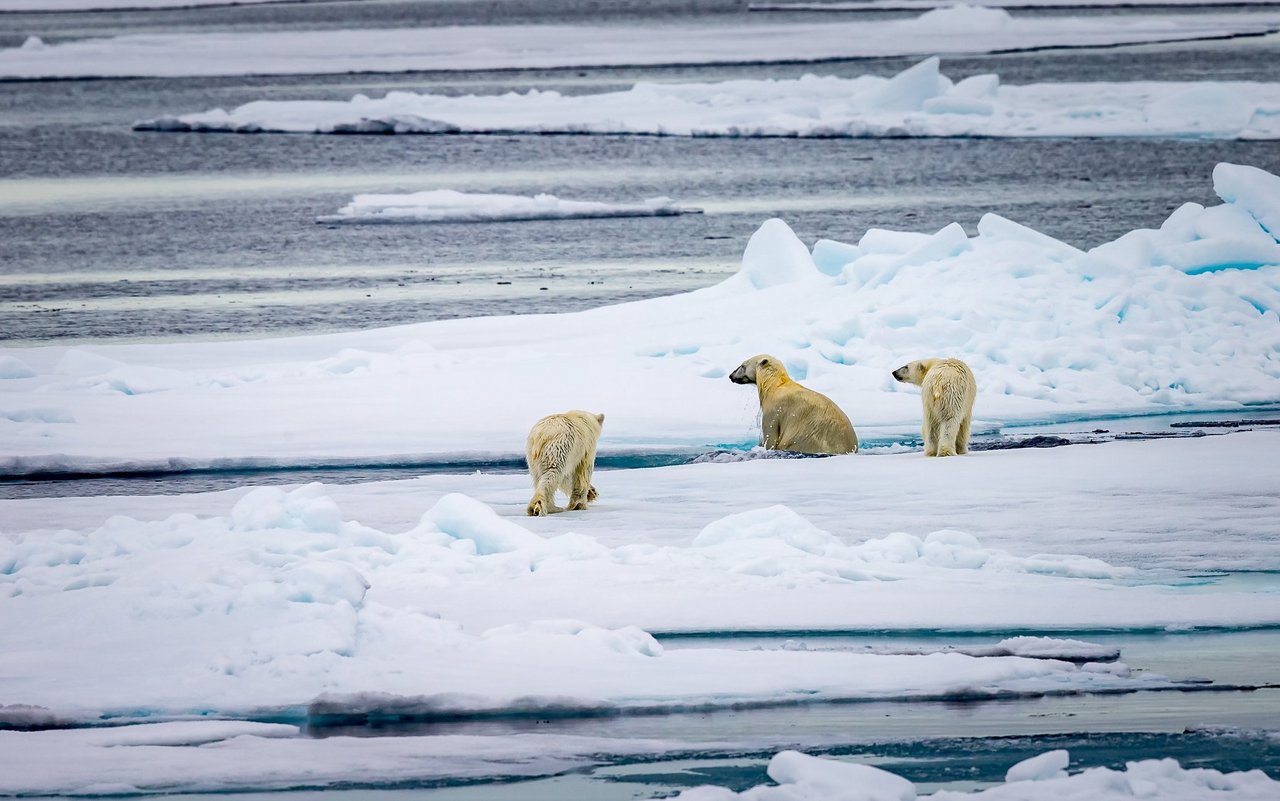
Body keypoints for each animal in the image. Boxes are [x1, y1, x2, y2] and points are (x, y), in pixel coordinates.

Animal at [732, 353, 860, 452]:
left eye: (742, 365)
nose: (731, 375)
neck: (774, 385)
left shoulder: (774, 410)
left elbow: (770, 437)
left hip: (808, 441)